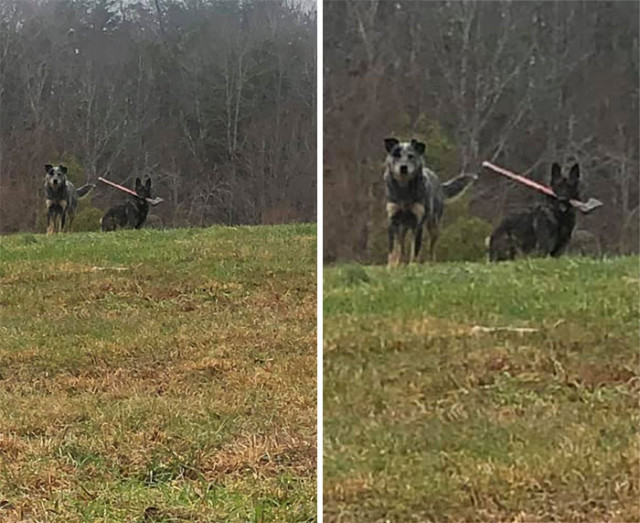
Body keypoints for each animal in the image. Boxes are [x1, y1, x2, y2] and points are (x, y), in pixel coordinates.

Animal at [382, 138, 478, 266]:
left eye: (411, 156)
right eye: (396, 154)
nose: (403, 167)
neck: (404, 189)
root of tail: (440, 184)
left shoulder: (418, 222)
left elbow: (415, 249)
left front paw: (413, 266)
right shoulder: (393, 220)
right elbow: (393, 249)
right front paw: (392, 266)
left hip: (434, 224)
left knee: (432, 247)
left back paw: (430, 263)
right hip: (404, 227)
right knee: (401, 245)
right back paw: (401, 263)